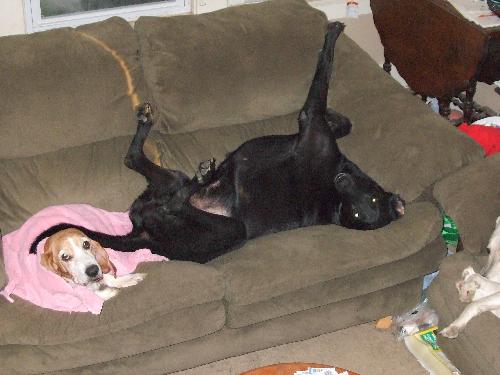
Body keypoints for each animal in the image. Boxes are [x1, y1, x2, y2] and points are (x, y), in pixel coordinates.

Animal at [29, 22, 402, 264]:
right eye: (365, 202)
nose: (340, 181)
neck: (334, 191)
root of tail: (143, 237)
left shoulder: (312, 121)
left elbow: (324, 68)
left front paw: (333, 32)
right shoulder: (319, 132)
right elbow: (343, 119)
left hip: (229, 228)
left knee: (167, 196)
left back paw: (199, 174)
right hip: (170, 181)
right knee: (135, 161)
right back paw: (191, 163)